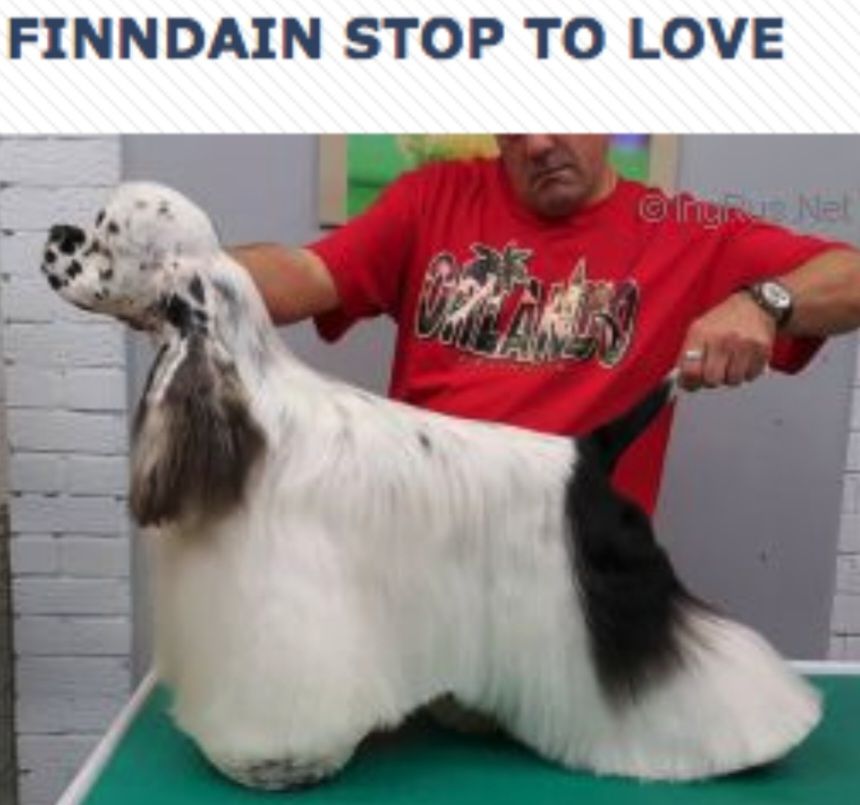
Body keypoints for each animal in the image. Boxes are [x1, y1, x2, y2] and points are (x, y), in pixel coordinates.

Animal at [41, 182, 820, 790]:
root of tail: (590, 451)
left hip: (614, 595)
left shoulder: (285, 602)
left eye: (107, 233)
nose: (55, 234)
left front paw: (275, 762)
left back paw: (761, 734)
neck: (252, 410)